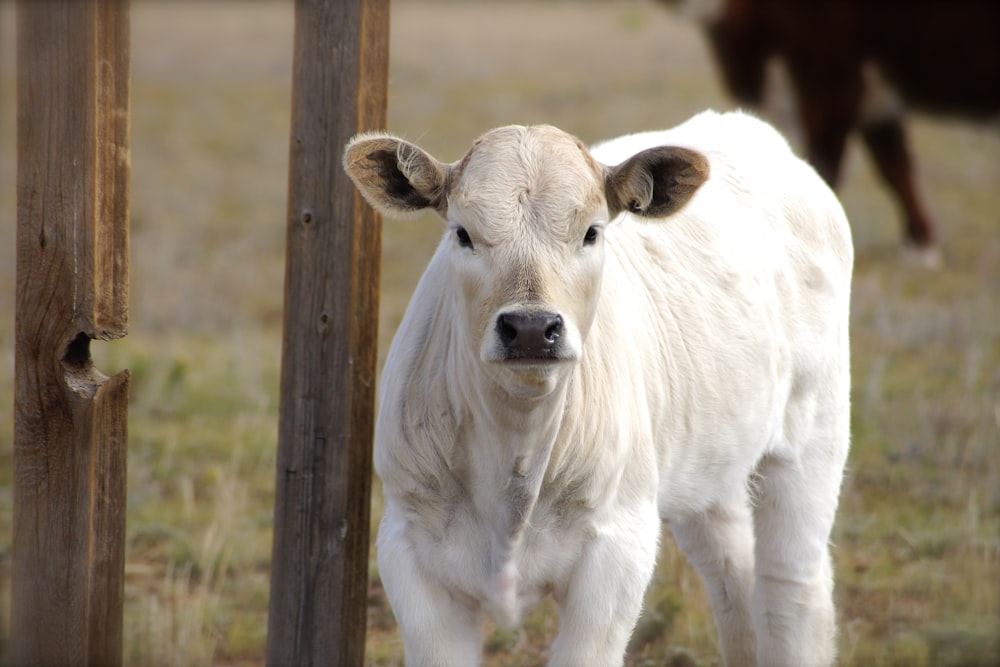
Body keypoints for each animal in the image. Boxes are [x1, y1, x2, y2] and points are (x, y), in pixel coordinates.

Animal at [344, 111, 852, 667]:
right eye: (463, 234)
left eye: (591, 232)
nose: (530, 327)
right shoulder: (409, 550)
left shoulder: (618, 552)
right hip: (707, 466)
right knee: (733, 581)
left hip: (813, 434)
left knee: (791, 590)